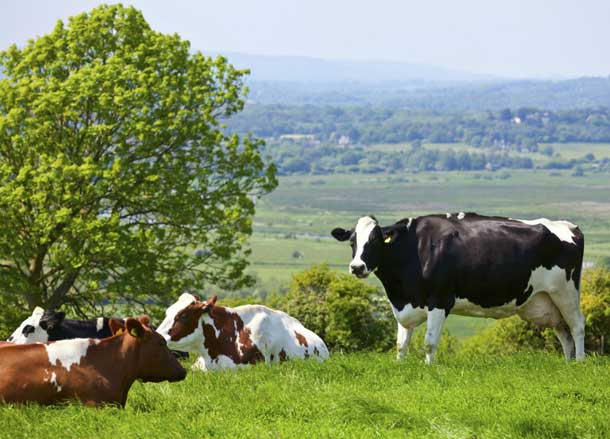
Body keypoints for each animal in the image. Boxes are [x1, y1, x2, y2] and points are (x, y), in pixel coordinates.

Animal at [332, 213, 584, 364]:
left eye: (374, 240)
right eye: (352, 241)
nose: (357, 267)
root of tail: (568, 226)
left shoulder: (440, 299)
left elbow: (429, 342)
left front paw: (428, 368)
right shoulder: (405, 304)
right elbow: (400, 344)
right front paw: (399, 365)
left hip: (566, 292)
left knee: (577, 326)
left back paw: (579, 362)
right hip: (546, 300)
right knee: (563, 331)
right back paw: (567, 363)